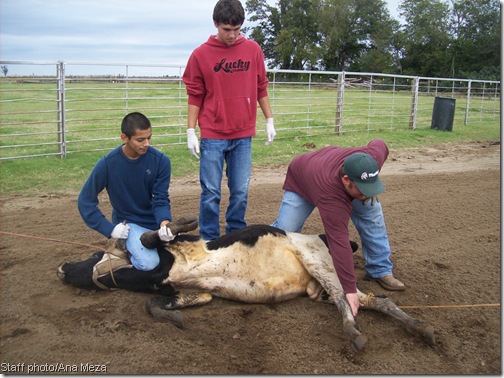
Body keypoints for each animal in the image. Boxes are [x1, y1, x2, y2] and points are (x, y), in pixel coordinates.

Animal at [58, 219, 434, 352]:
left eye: (94, 254)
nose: (61, 267)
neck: (155, 275)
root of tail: (324, 236)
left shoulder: (184, 246)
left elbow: (152, 236)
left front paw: (178, 223)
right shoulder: (196, 292)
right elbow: (154, 304)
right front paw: (175, 316)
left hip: (319, 263)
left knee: (347, 302)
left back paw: (354, 333)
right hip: (321, 288)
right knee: (371, 300)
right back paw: (420, 328)